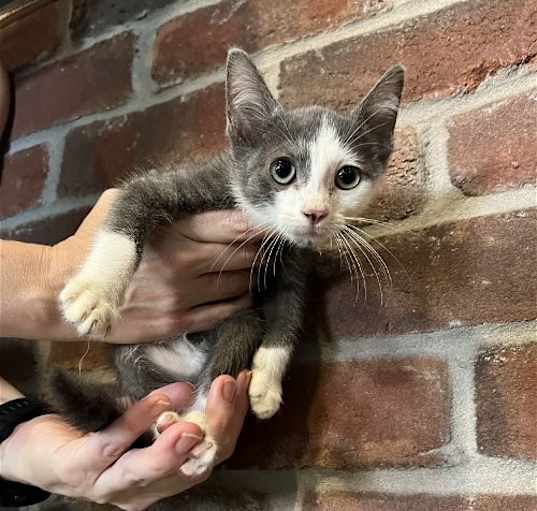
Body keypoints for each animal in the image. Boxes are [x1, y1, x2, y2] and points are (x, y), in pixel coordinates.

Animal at [48, 49, 404, 480]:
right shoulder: (189, 183)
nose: (315, 213)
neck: (256, 220)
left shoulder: (293, 257)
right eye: (282, 169)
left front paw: (266, 384)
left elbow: (289, 310)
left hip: (236, 325)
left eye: (347, 177)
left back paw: (197, 428)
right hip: (130, 357)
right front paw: (96, 293)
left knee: (231, 347)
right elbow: (132, 205)